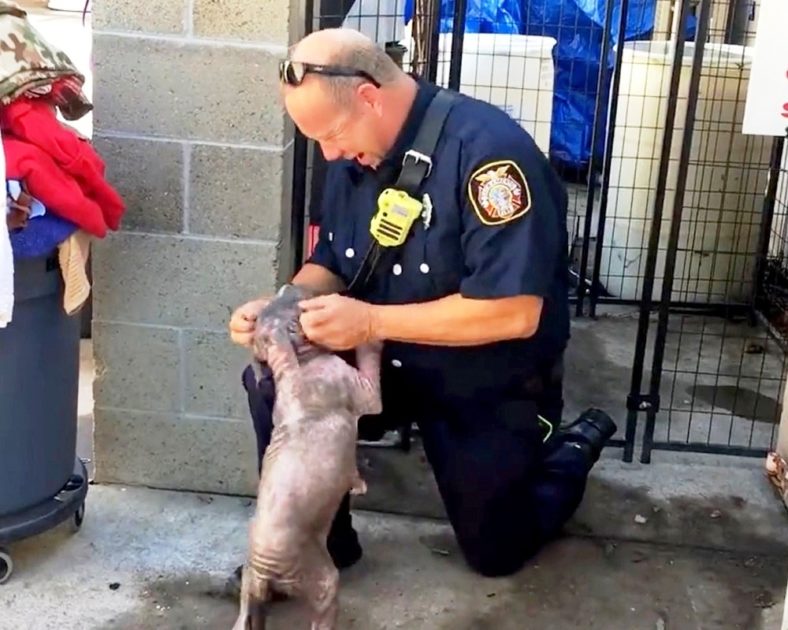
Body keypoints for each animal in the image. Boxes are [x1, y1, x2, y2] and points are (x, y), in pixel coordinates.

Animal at [232, 286, 384, 630]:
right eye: (300, 305)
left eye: (282, 292)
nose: (295, 285)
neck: (297, 363)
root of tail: (263, 571)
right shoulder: (364, 390)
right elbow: (370, 362)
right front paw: (366, 325)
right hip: (322, 579)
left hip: (251, 593)